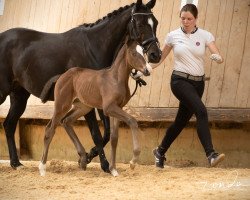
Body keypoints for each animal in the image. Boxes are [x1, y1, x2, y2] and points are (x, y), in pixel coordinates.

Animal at [38, 39, 152, 177]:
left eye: (144, 52)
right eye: (134, 53)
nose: (147, 70)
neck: (116, 79)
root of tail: (61, 76)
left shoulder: (117, 108)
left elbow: (114, 138)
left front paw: (113, 169)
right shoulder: (109, 108)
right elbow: (132, 121)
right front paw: (133, 161)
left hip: (83, 107)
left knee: (66, 121)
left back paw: (83, 159)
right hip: (62, 105)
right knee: (50, 129)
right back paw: (42, 168)